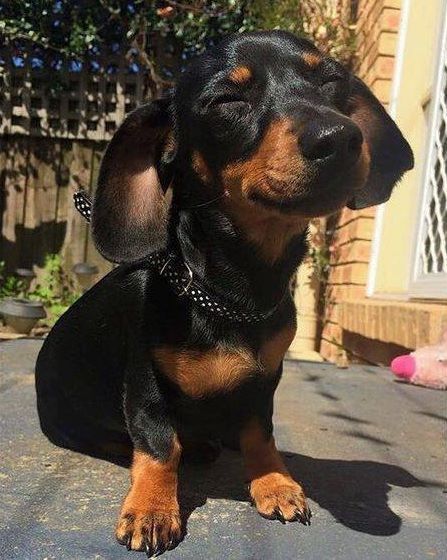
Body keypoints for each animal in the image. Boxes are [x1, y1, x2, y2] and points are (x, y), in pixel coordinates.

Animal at [36, 30, 414, 556]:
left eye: (331, 82)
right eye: (227, 101)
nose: (340, 138)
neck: (232, 295)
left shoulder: (263, 380)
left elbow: (260, 434)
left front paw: (275, 482)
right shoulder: (146, 384)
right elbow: (159, 445)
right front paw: (152, 508)